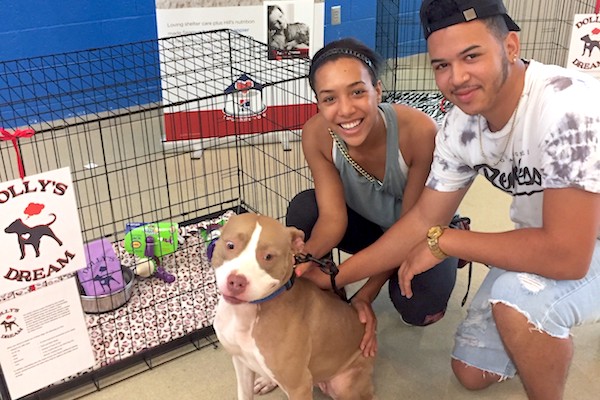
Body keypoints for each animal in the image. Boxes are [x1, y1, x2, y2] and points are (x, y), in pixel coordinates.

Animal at [212, 214, 376, 400]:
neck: (245, 314)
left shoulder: (299, 385)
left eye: (269, 256)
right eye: (230, 245)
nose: (236, 282)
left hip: (345, 385)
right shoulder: (240, 362)